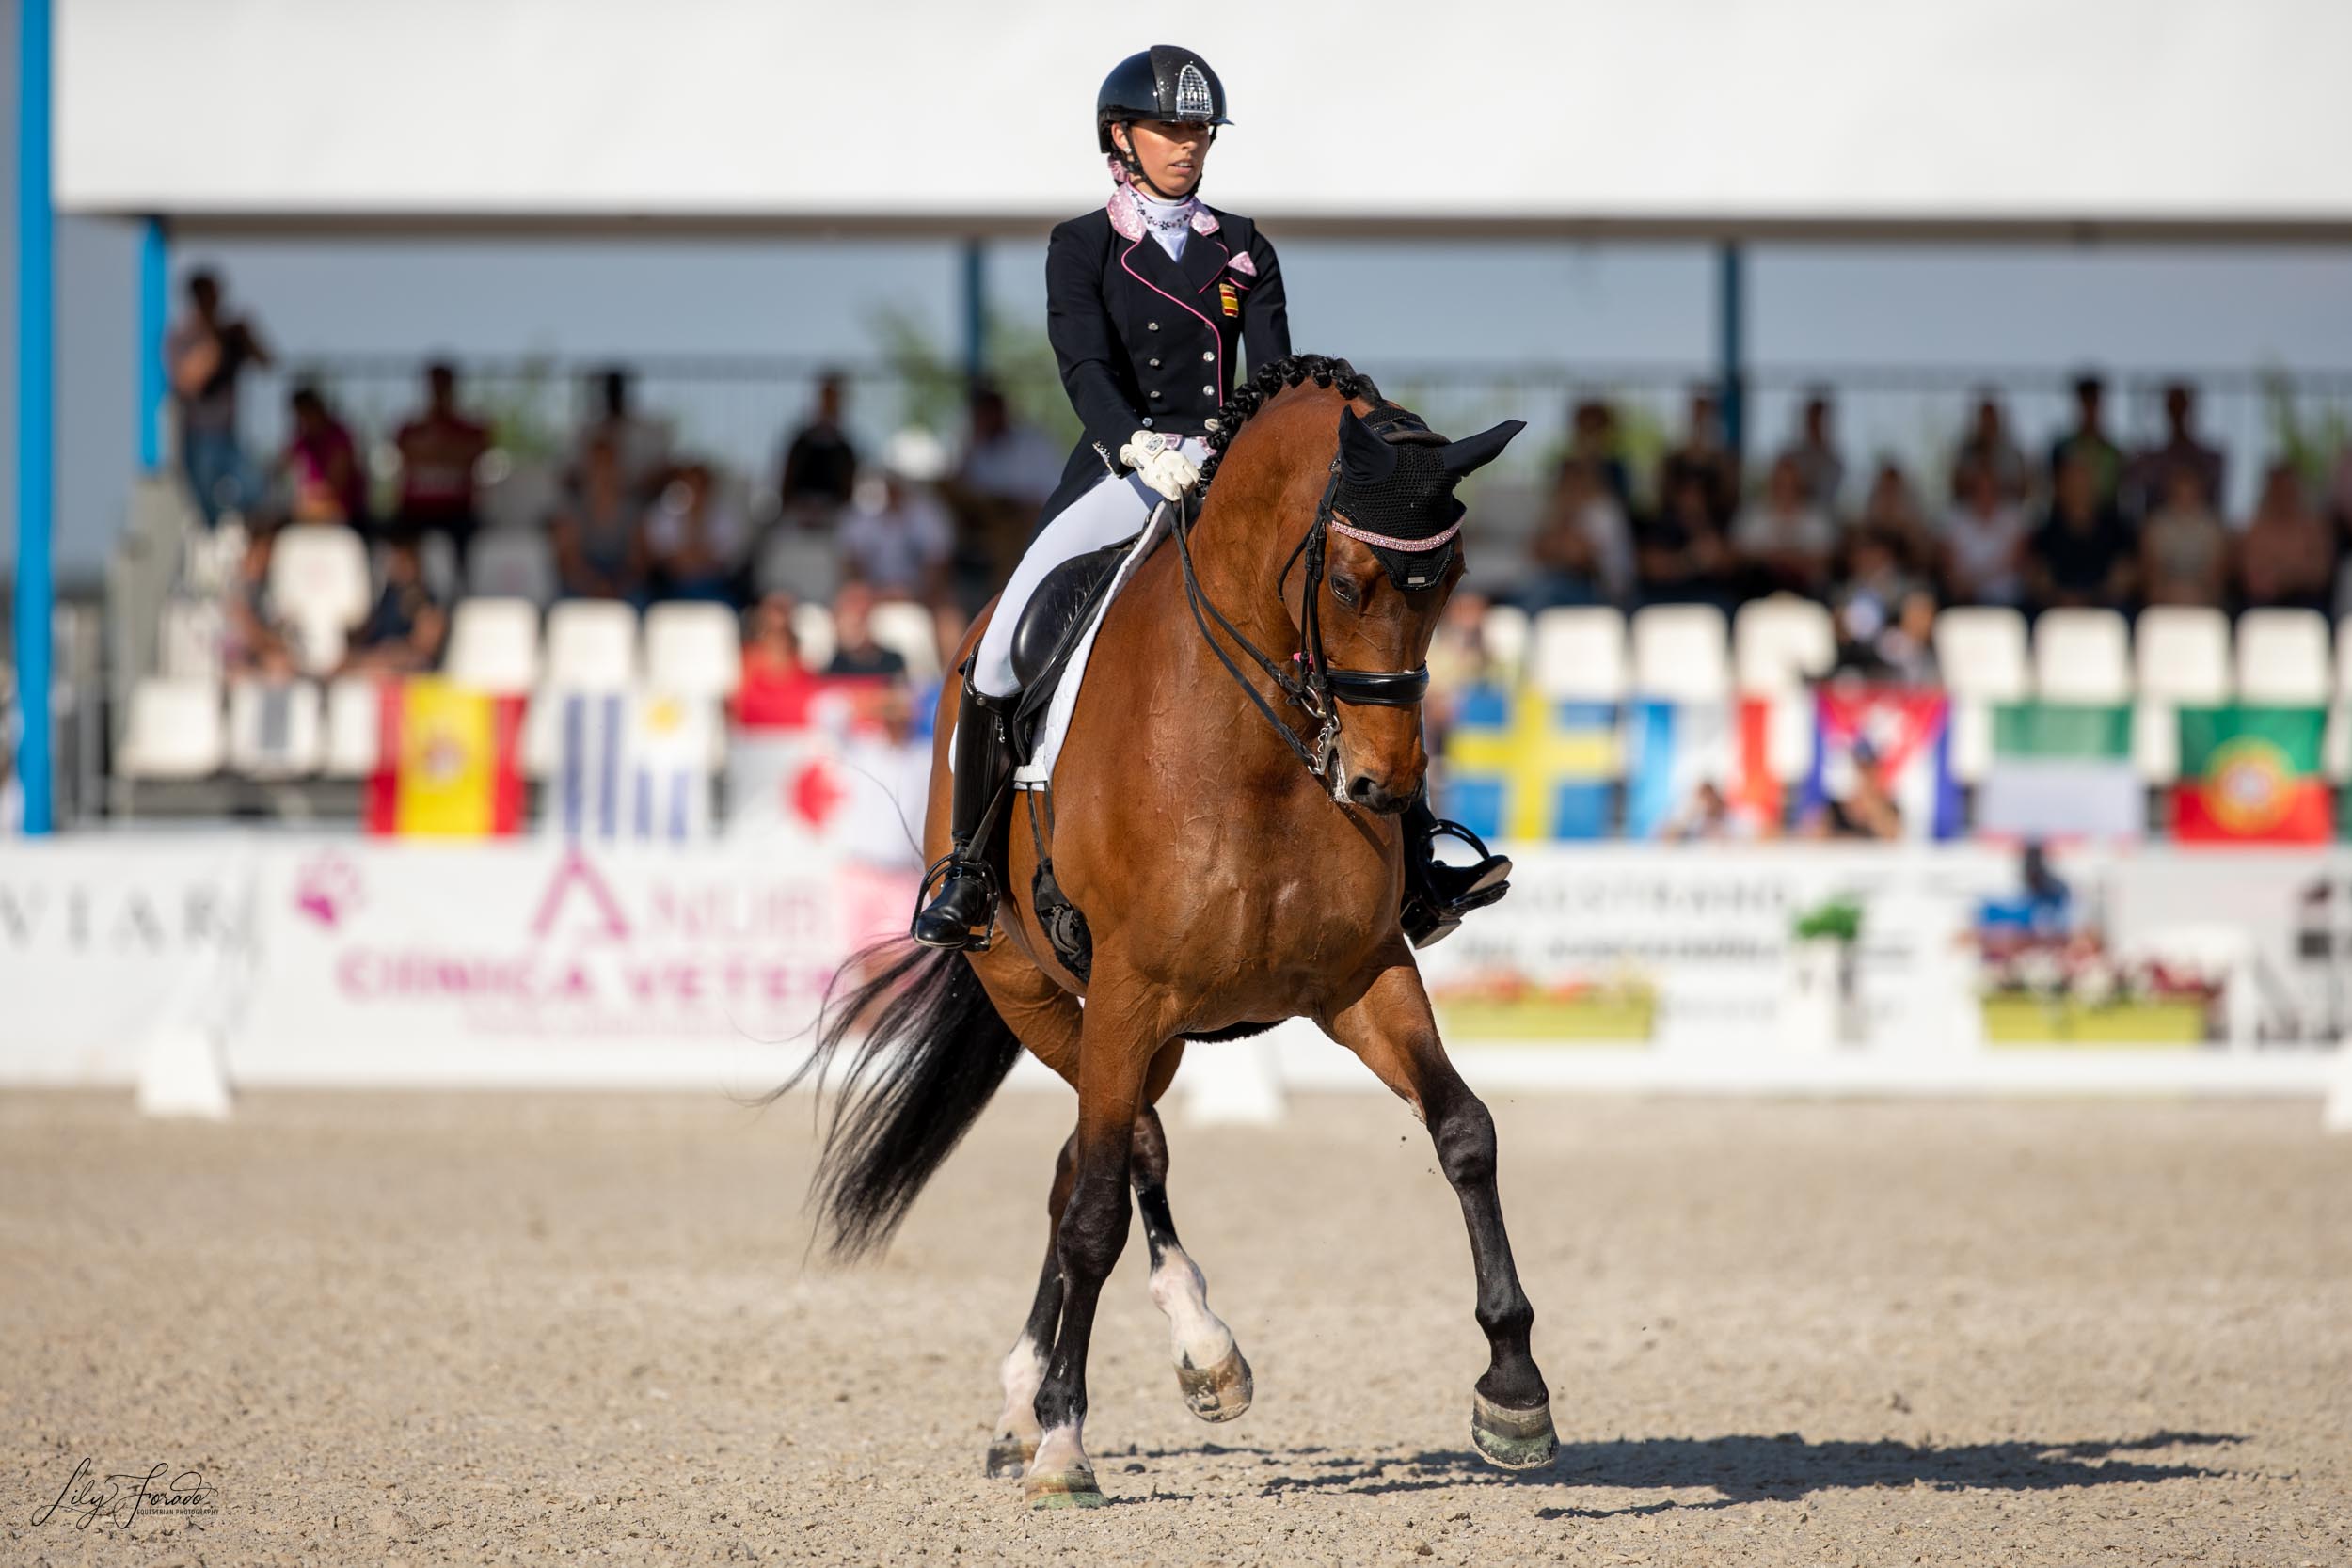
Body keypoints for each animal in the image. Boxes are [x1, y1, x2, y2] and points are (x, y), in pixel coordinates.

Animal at [781, 355, 1552, 1504]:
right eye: (1345, 583)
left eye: (1452, 578)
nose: (1380, 783)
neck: (1252, 750)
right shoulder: (1129, 990)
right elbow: (1104, 1201)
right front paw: (1067, 1440)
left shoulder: (1364, 977)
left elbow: (1465, 1131)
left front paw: (1513, 1387)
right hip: (1048, 996)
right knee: (1111, 1156)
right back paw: (1158, 1358)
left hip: (1159, 1032)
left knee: (1086, 1156)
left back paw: (1058, 1385)